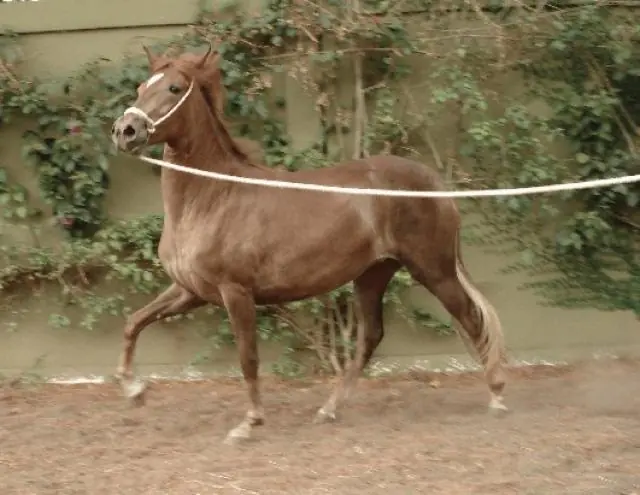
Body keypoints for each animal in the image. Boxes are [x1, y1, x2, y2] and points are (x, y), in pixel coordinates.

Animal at [111, 44, 508, 444]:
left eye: (174, 88)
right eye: (142, 86)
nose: (124, 131)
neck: (213, 197)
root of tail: (435, 183)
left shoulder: (235, 292)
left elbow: (248, 357)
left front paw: (249, 423)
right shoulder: (190, 290)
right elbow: (133, 322)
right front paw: (134, 390)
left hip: (433, 269)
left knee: (471, 318)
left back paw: (497, 398)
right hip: (373, 274)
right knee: (371, 336)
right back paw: (329, 409)